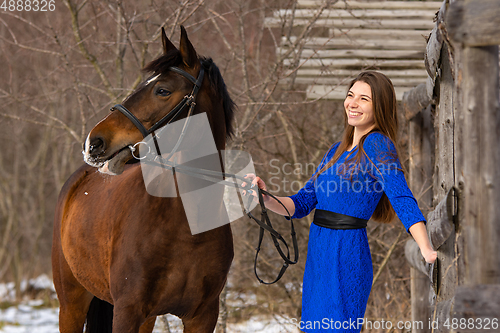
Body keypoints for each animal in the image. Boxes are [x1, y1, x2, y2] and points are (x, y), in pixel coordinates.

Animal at [51, 26, 235, 332]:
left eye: (162, 90)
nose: (94, 142)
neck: (189, 224)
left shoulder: (202, 315)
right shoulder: (127, 311)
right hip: (71, 305)